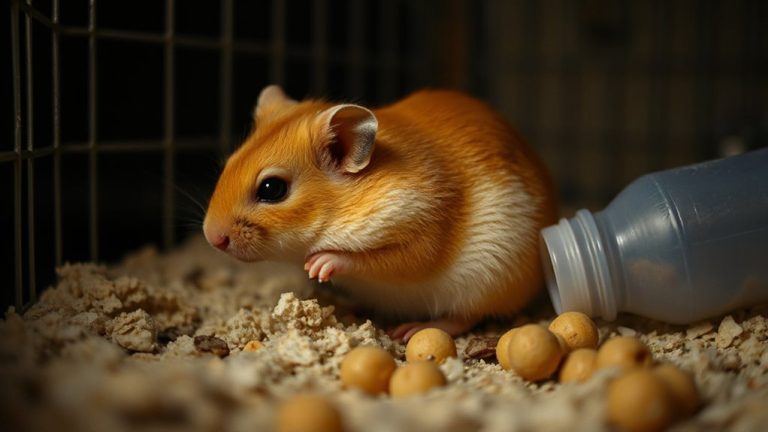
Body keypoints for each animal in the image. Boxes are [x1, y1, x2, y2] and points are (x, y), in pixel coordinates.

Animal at [203, 85, 557, 340]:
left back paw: (413, 329)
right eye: (229, 163)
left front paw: (319, 264)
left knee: (463, 317)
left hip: (485, 283)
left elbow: (375, 259)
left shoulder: (422, 230)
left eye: (272, 188)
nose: (211, 238)